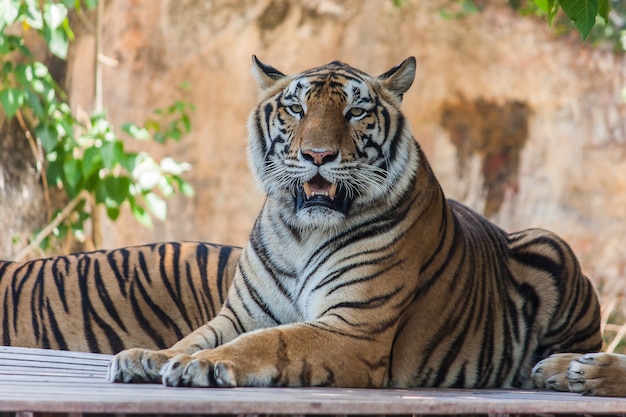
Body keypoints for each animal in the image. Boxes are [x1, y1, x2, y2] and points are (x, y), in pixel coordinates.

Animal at [105, 57, 604, 392]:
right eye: (297, 109)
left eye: (356, 112)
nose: (318, 155)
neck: (301, 232)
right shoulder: (242, 314)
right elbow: (192, 337)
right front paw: (147, 357)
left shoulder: (353, 327)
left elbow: (270, 342)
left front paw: (203, 365)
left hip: (550, 243)